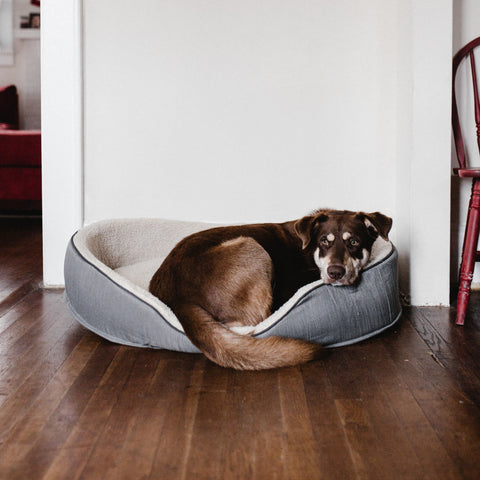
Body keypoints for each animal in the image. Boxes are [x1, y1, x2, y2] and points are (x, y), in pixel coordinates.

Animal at [148, 208, 392, 370]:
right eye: (324, 241)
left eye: (354, 242)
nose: (335, 272)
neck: (309, 250)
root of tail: (177, 299)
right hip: (251, 246)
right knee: (256, 321)